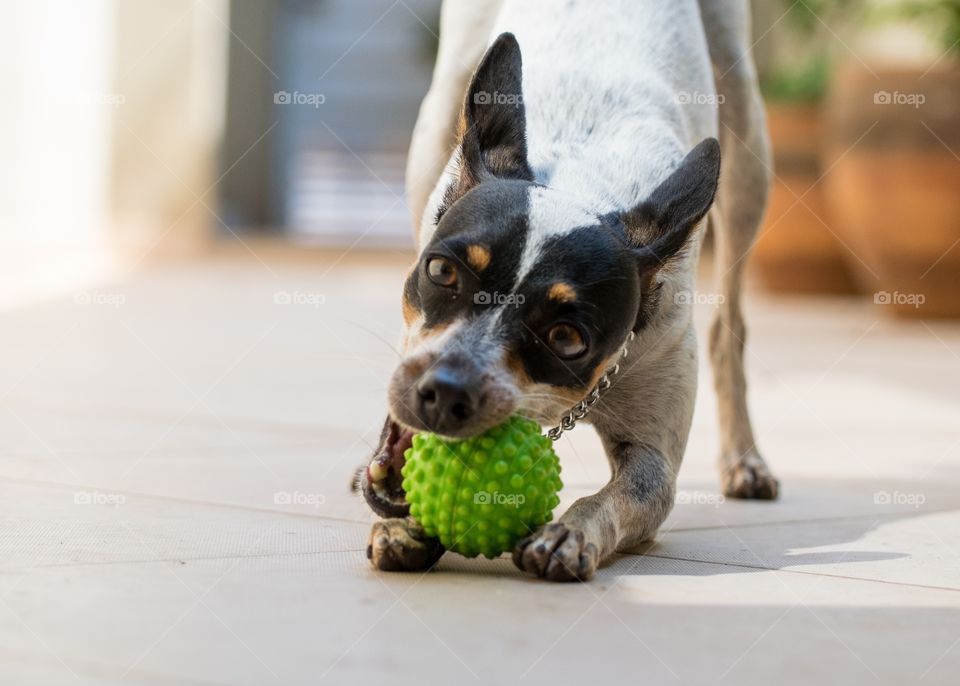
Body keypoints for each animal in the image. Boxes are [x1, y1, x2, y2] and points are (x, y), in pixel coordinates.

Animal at [362, 0, 780, 584]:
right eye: (441, 272)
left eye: (566, 338)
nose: (445, 391)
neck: (584, 181)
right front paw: (403, 524)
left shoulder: (654, 458)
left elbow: (621, 495)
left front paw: (568, 533)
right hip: (435, 121)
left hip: (746, 145)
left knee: (730, 326)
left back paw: (745, 460)